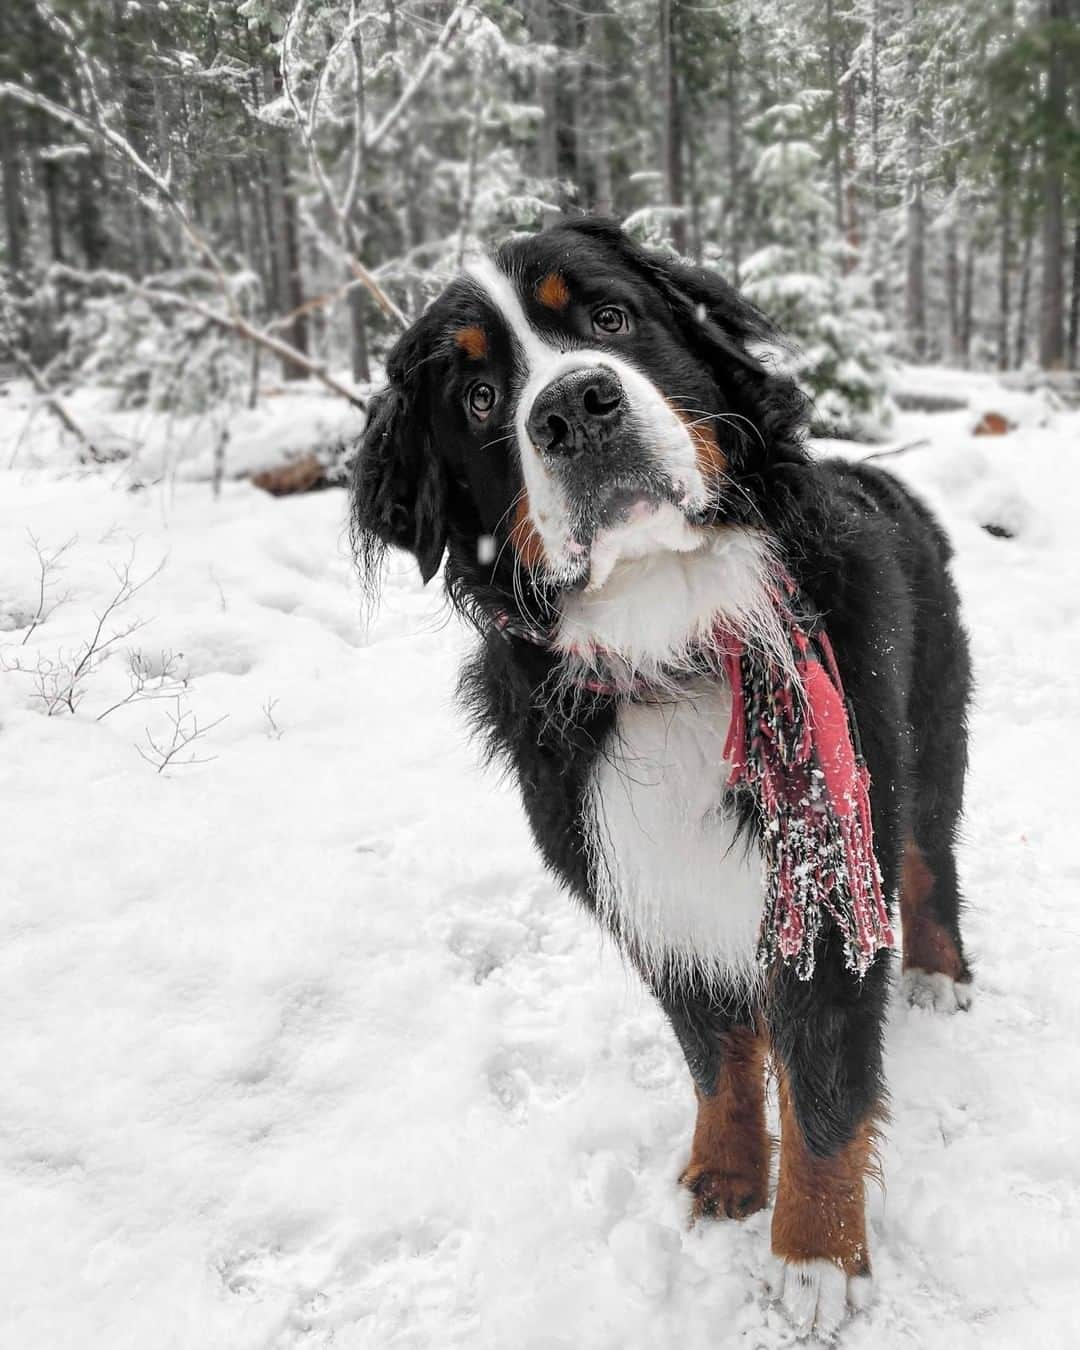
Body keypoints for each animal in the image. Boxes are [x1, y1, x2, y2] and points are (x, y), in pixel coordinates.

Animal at [351, 216, 972, 1333]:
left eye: (610, 316)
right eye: (478, 399)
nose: (572, 408)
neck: (669, 640)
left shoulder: (822, 862)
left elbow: (825, 1083)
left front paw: (815, 1258)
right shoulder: (643, 880)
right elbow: (713, 1052)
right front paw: (725, 1174)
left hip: (928, 737)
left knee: (929, 858)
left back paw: (941, 973)